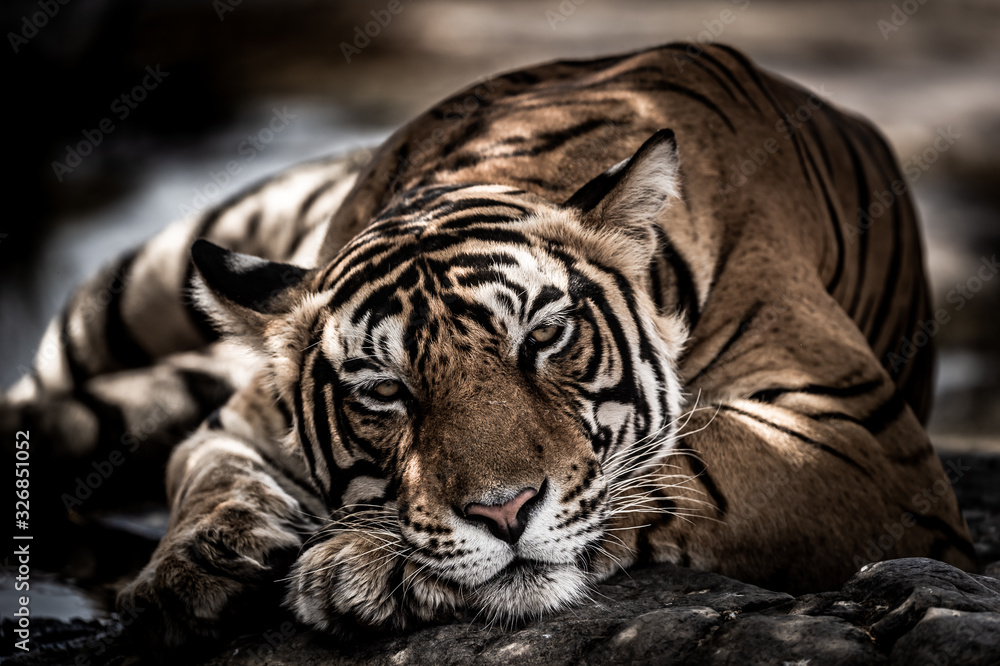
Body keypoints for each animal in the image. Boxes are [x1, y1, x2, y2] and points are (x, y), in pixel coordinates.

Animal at [2, 42, 976, 647]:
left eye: (545, 338)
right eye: (384, 391)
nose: (504, 514)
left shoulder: (860, 434)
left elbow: (692, 466)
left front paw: (366, 568)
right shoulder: (239, 421)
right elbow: (205, 472)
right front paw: (189, 570)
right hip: (140, 285)